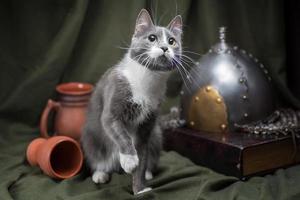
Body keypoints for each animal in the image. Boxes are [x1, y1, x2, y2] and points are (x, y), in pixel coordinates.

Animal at [80, 8, 183, 195]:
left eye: (172, 41)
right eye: (152, 38)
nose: (165, 47)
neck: (147, 80)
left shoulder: (148, 124)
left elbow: (141, 154)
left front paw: (140, 189)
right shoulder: (114, 98)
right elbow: (120, 132)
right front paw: (129, 160)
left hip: (156, 135)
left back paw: (148, 172)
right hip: (90, 137)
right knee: (97, 157)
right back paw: (100, 174)